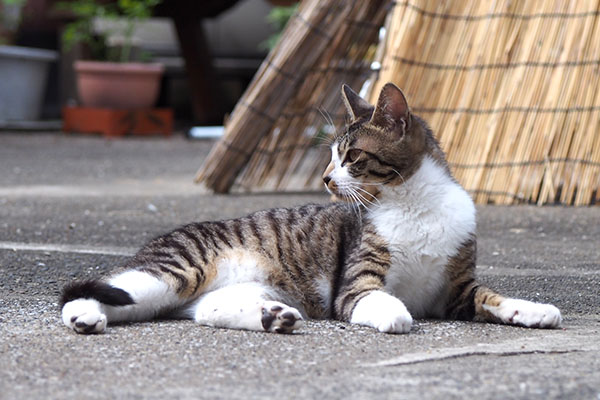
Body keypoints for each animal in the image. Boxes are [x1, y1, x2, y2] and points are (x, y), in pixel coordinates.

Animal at [61, 82, 564, 334]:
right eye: (332, 156)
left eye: (351, 156)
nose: (325, 178)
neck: (414, 202)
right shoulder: (355, 282)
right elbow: (374, 297)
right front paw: (394, 313)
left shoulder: (456, 289)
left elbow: (492, 296)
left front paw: (533, 310)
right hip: (177, 269)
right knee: (98, 289)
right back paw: (84, 316)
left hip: (212, 290)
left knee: (199, 309)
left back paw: (272, 317)